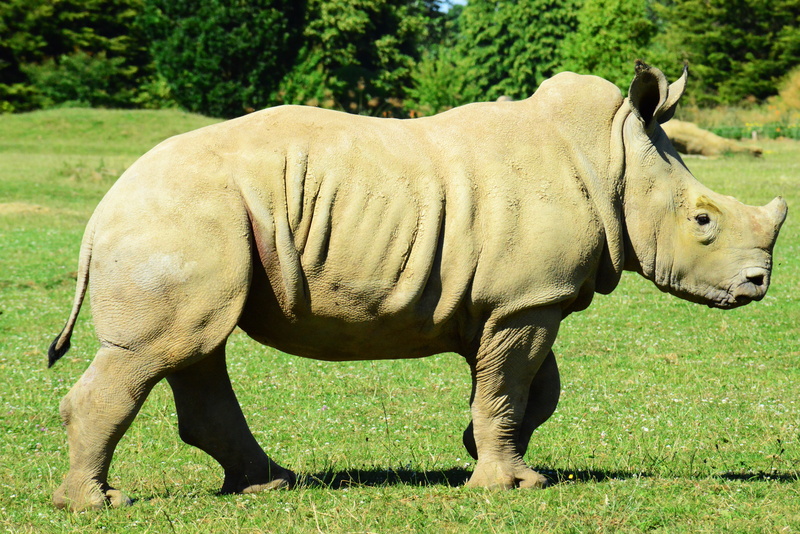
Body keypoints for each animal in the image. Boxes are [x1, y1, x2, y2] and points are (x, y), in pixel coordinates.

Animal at [49, 62, 787, 510]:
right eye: (703, 220)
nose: (758, 284)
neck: (613, 156)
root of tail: (103, 209)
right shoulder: (526, 300)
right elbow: (510, 385)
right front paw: (510, 485)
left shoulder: (518, 298)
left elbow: (530, 389)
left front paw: (477, 449)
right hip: (184, 219)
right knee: (160, 351)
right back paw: (98, 504)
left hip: (203, 225)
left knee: (195, 348)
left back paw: (268, 486)